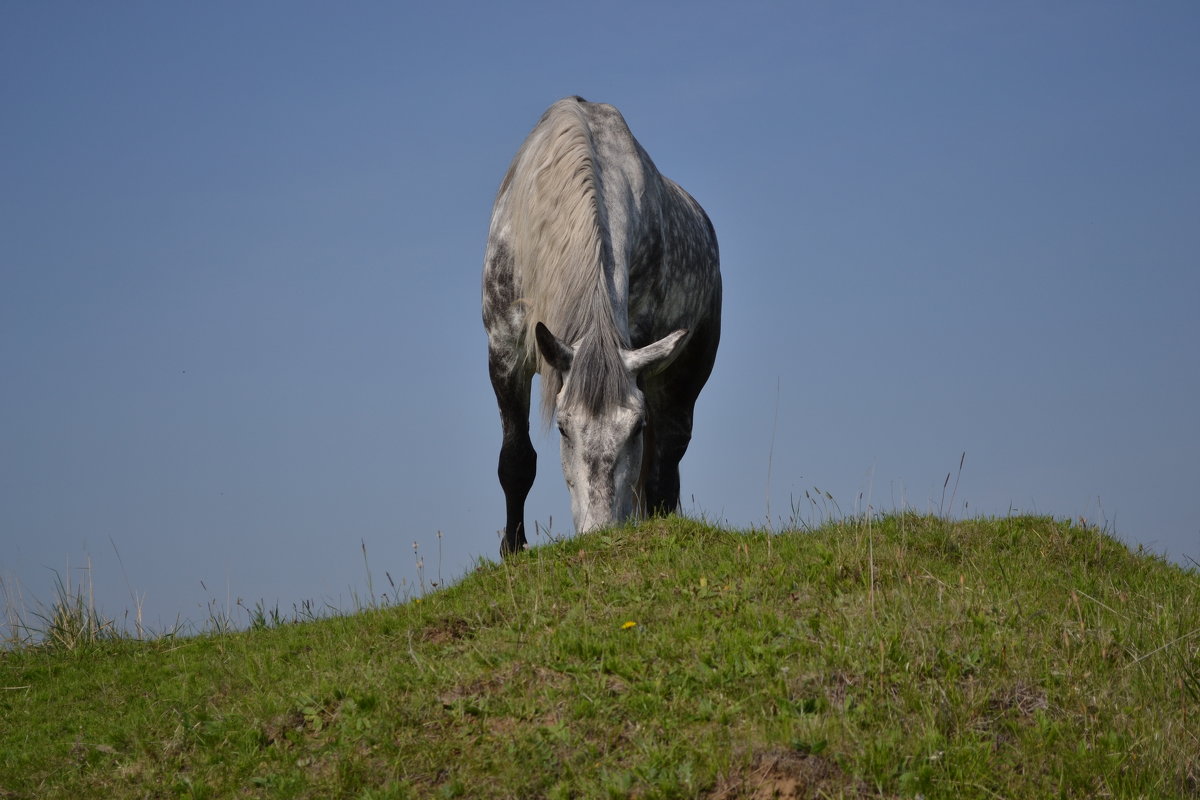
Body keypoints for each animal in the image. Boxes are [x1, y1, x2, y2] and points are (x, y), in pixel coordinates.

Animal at [480, 97, 720, 554]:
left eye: (635, 427)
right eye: (562, 427)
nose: (600, 533)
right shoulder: (503, 351)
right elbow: (515, 460)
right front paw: (512, 550)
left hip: (683, 379)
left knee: (665, 465)